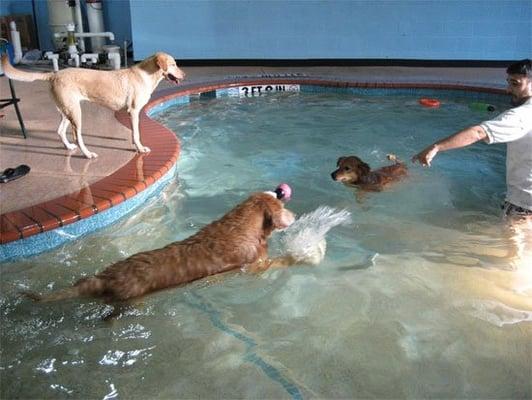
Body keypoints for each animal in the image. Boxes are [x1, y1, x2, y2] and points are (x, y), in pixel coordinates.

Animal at [23, 191, 296, 304]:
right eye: (283, 207)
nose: (294, 214)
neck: (240, 227)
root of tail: (107, 277)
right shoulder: (254, 266)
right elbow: (278, 261)